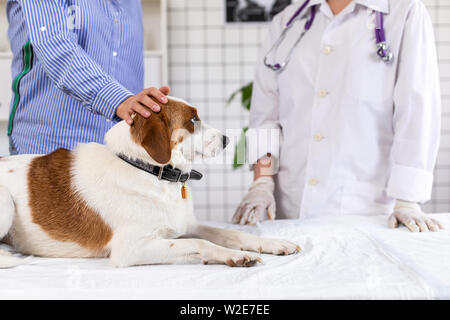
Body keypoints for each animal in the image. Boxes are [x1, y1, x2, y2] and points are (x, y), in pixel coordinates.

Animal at [0, 97, 302, 268]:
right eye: (193, 119)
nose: (228, 139)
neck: (149, 172)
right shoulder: (130, 250)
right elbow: (205, 243)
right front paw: (234, 256)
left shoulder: (186, 226)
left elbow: (233, 235)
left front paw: (274, 244)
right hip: (5, 202)